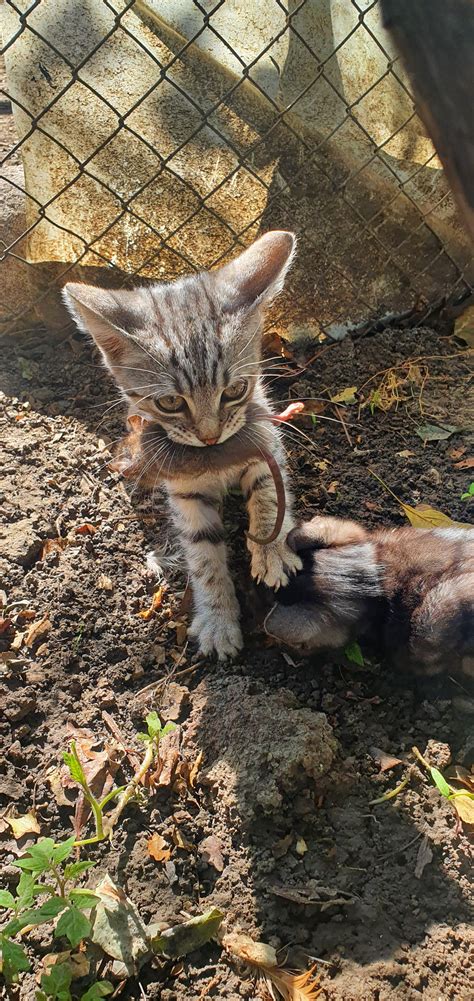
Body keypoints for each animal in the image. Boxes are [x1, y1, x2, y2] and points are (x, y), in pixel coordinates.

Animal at [63, 230, 302, 660]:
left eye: (235, 390)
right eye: (171, 402)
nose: (210, 436)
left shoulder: (264, 439)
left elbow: (268, 493)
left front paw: (272, 550)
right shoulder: (185, 491)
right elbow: (203, 553)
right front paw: (217, 619)